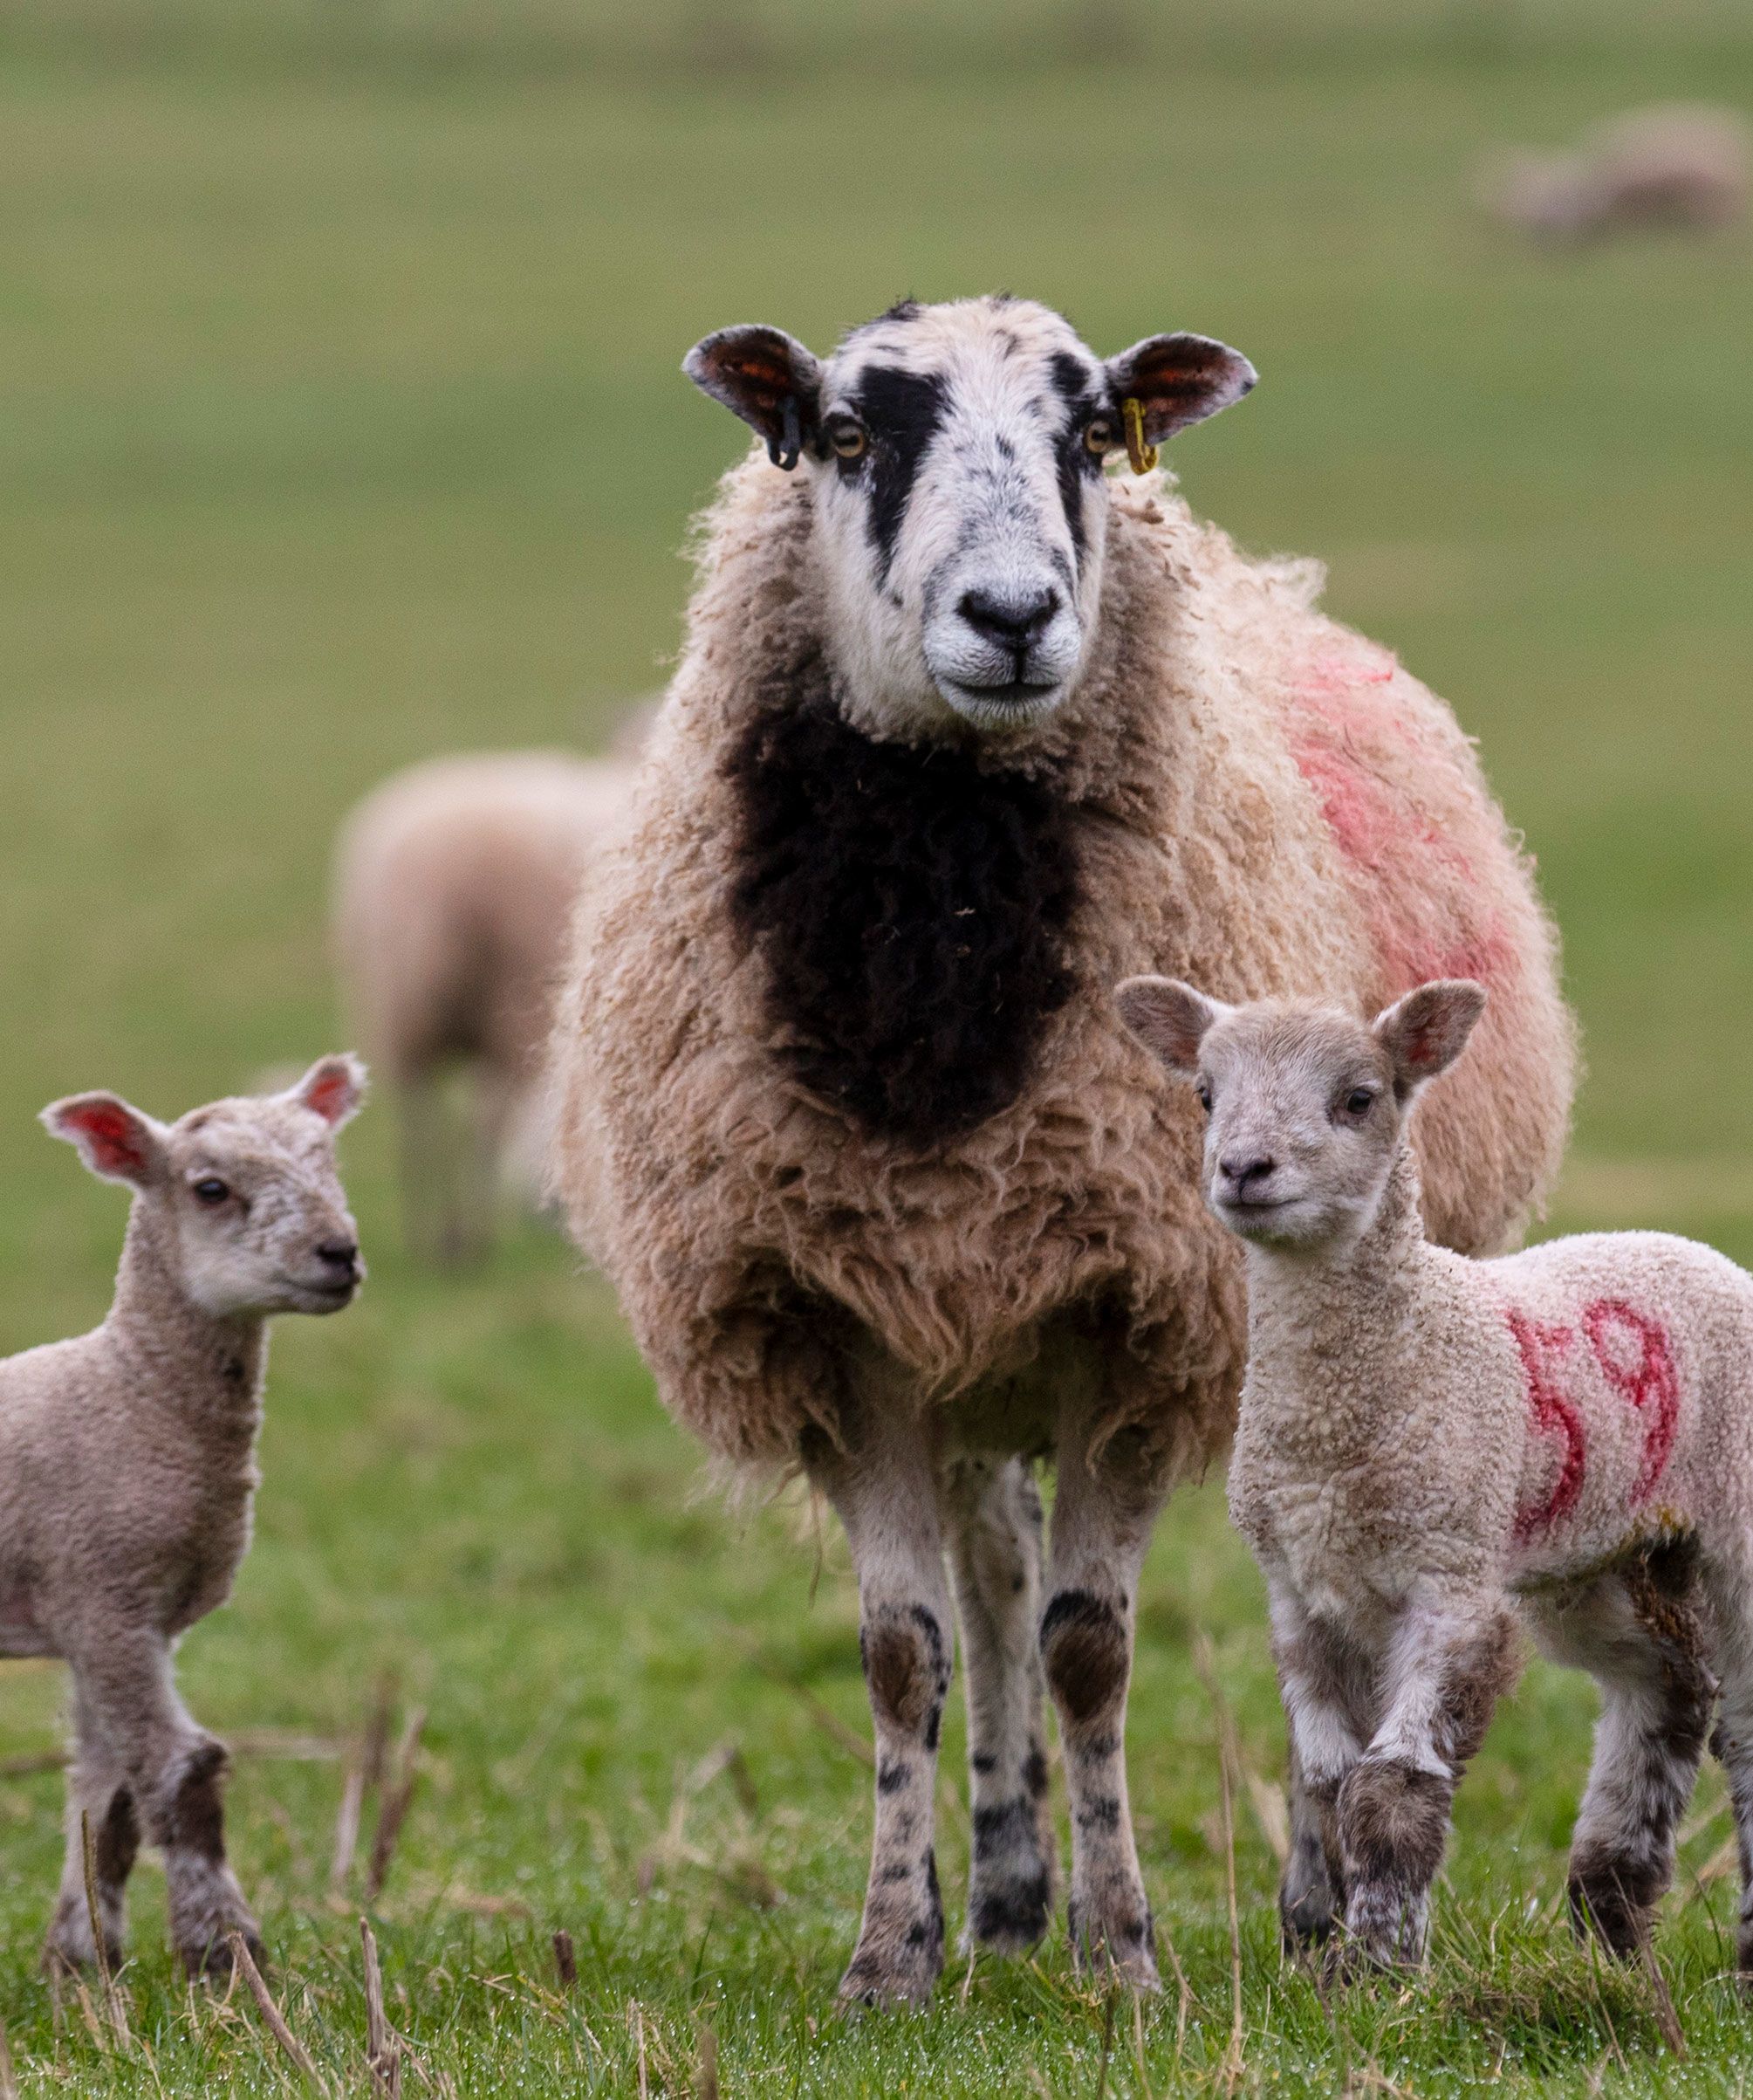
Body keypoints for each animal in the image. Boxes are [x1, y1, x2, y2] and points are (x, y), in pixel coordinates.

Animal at [2, 1057, 365, 1978]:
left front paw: (80, 1961)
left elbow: (106, 1799)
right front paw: (224, 1951)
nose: (340, 1253)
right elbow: (179, 1771)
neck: (131, 1392)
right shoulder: (100, 1590)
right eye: (210, 1189)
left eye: (329, 1162)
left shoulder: (124, 1610)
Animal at [333, 749, 637, 1262]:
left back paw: (430, 1235)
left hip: (402, 1011)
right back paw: (469, 1238)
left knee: (420, 1119)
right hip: (501, 1006)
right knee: (481, 1121)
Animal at [547, 294, 1576, 2004]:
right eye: (845, 433)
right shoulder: (846, 1323)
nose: (1014, 615)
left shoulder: (1136, 1316)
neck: (938, 993)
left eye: (1092, 433)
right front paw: (892, 1958)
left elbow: (1091, 1647)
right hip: (973, 1354)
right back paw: (1005, 1896)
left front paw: (1125, 1954)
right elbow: (907, 1653)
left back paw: (1303, 1908)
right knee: (992, 1585)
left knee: (1303, 1593)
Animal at [1117, 971, 1753, 1974]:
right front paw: (1314, 1937)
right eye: (1205, 1096)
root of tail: (1684, 1247)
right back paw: (1607, 1919)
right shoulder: (1296, 1581)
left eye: (1357, 1098)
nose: (1244, 1170)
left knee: (1746, 1727)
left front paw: (1379, 1964)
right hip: (1598, 1553)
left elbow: (1390, 1785)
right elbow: (1322, 1780)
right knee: (1667, 1689)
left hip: (1728, 1514)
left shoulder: (1448, 1572)